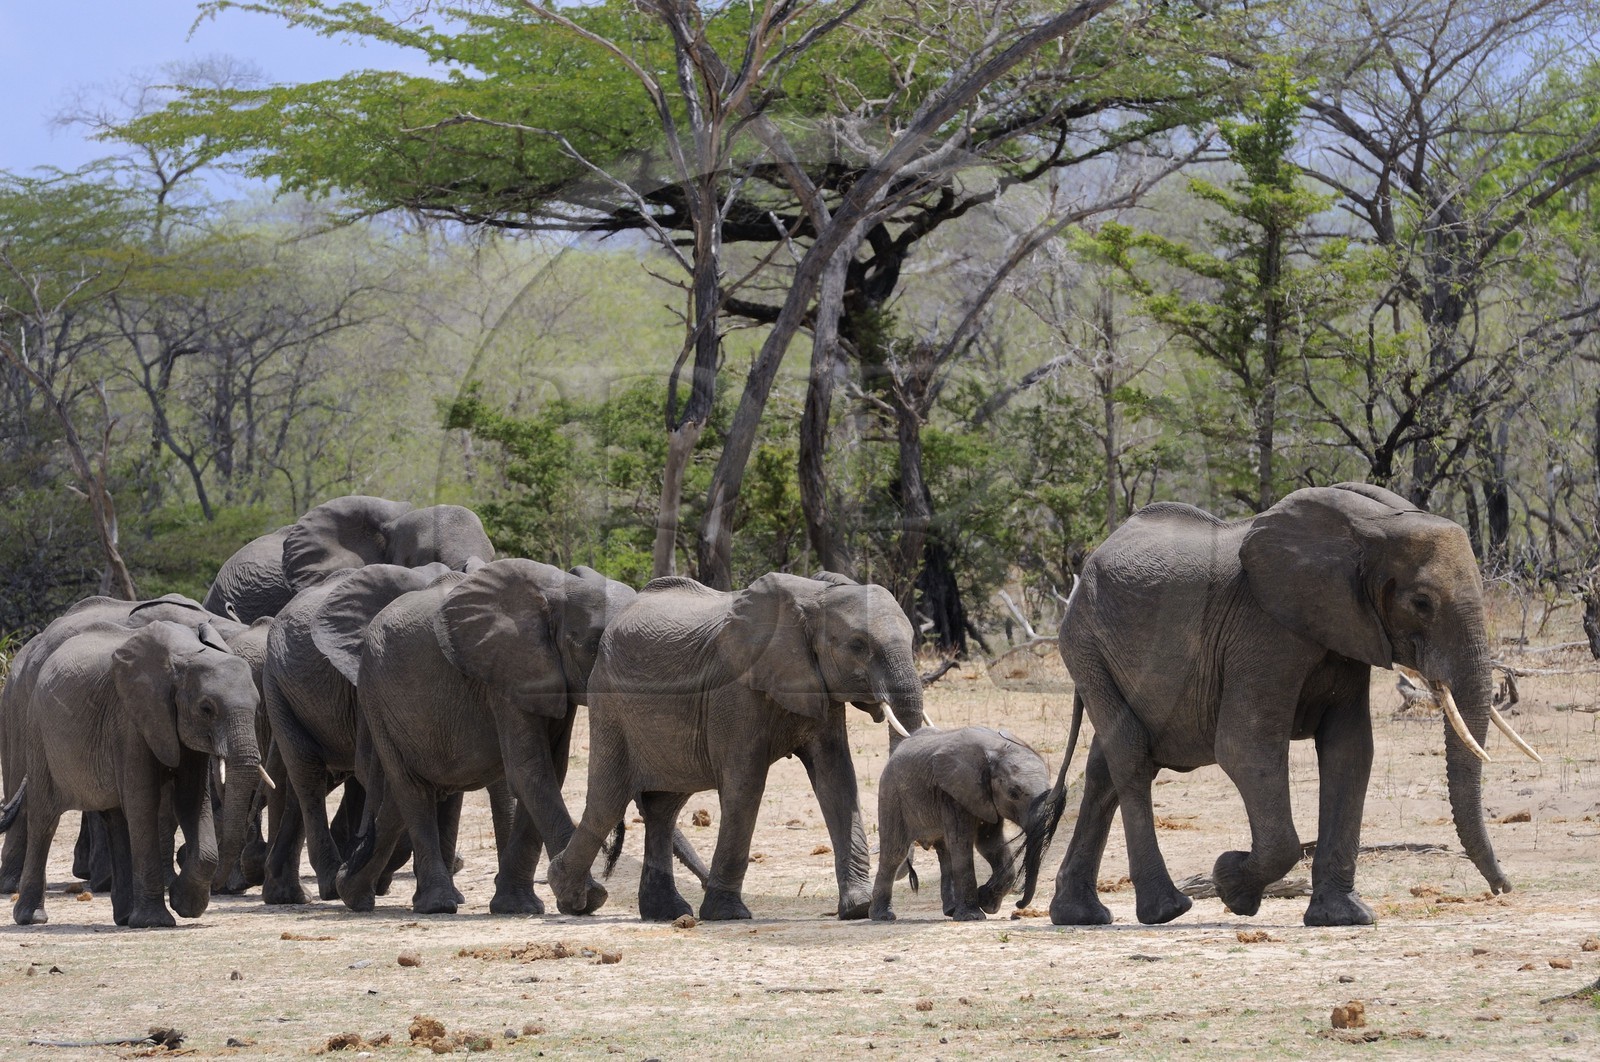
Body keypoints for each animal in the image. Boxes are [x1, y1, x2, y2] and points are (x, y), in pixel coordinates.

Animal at [259, 562, 453, 904]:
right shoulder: (367, 676)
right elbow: (373, 769)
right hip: (276, 682)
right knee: (307, 773)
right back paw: (328, 885)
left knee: (296, 778)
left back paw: (284, 892)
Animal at [333, 559, 650, 915]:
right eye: (595, 645)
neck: (556, 592)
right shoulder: (506, 670)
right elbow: (530, 772)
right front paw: (586, 899)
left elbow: (549, 771)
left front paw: (520, 907)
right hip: (377, 695)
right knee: (411, 790)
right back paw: (437, 905)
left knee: (400, 797)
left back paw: (351, 892)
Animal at [546, 571, 926, 923]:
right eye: (858, 645)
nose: (912, 879)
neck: (815, 597)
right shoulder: (735, 691)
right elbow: (745, 784)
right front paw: (728, 914)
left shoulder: (822, 691)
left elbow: (837, 780)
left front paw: (858, 907)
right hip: (610, 704)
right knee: (608, 801)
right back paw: (579, 899)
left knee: (662, 808)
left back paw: (665, 912)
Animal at [869, 726, 1055, 922]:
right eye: (1013, 793)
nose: (1019, 904)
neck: (997, 750)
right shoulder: (954, 793)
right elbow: (963, 843)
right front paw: (973, 916)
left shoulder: (985, 798)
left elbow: (990, 844)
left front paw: (986, 903)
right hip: (891, 794)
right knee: (895, 852)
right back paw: (883, 916)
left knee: (945, 851)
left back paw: (951, 910)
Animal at [1042, 483, 1541, 928]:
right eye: (1421, 602)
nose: (1502, 887)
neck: (1369, 530)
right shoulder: (1263, 632)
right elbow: (1245, 748)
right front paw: (1231, 885)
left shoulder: (1345, 630)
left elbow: (1350, 751)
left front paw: (1344, 918)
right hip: (1086, 645)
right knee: (1131, 757)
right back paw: (1167, 910)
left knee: (1105, 764)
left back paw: (1080, 916)